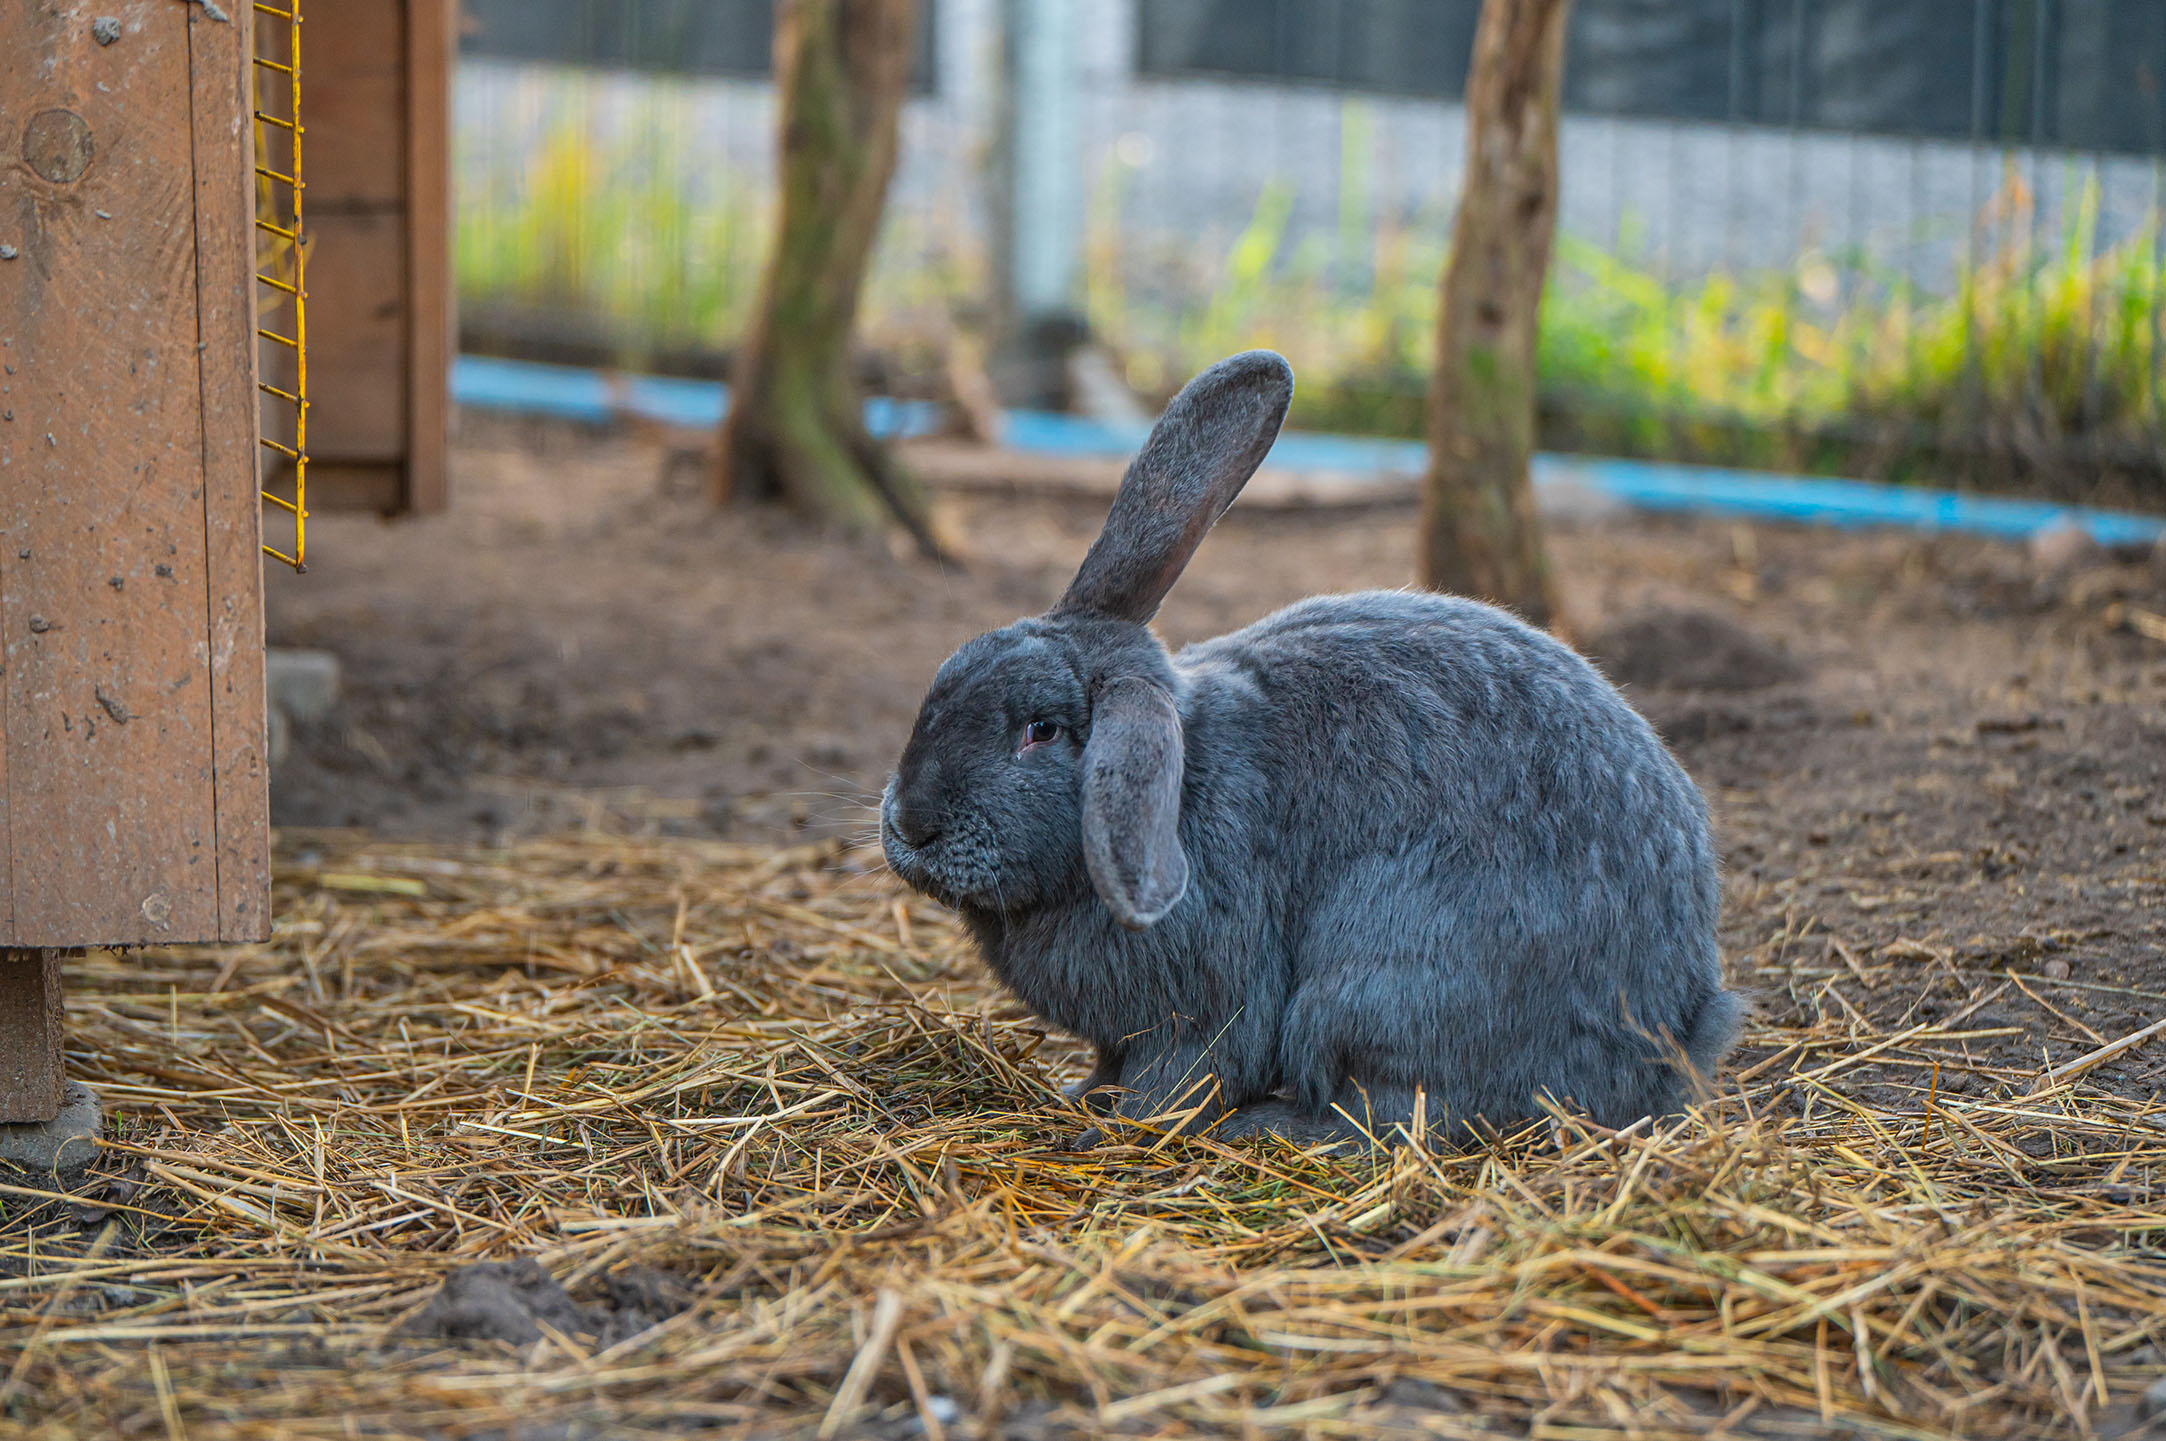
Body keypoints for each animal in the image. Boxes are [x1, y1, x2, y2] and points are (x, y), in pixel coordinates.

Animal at [880, 350, 1741, 1147]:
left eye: (1042, 730)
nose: (912, 822)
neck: (1180, 782)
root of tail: (1673, 1028)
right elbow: (1107, 1064)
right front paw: (1079, 1097)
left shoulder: (1202, 1009)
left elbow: (1175, 1082)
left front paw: (1112, 1131)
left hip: (1370, 985)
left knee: (1393, 1114)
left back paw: (1270, 1126)